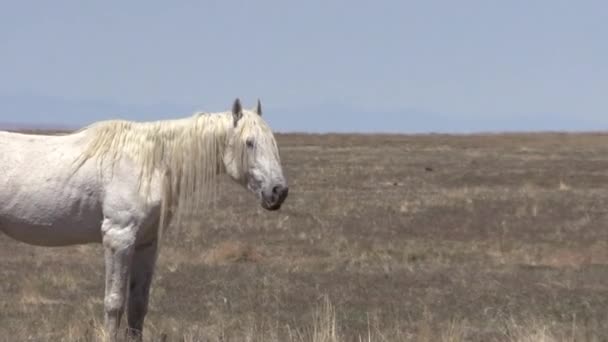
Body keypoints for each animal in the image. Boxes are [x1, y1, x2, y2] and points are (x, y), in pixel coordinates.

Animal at [0, 98, 288, 340]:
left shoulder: (146, 243)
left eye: (273, 142)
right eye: (249, 142)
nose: (279, 192)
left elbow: (138, 305)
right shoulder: (118, 238)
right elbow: (114, 303)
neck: (152, 163)